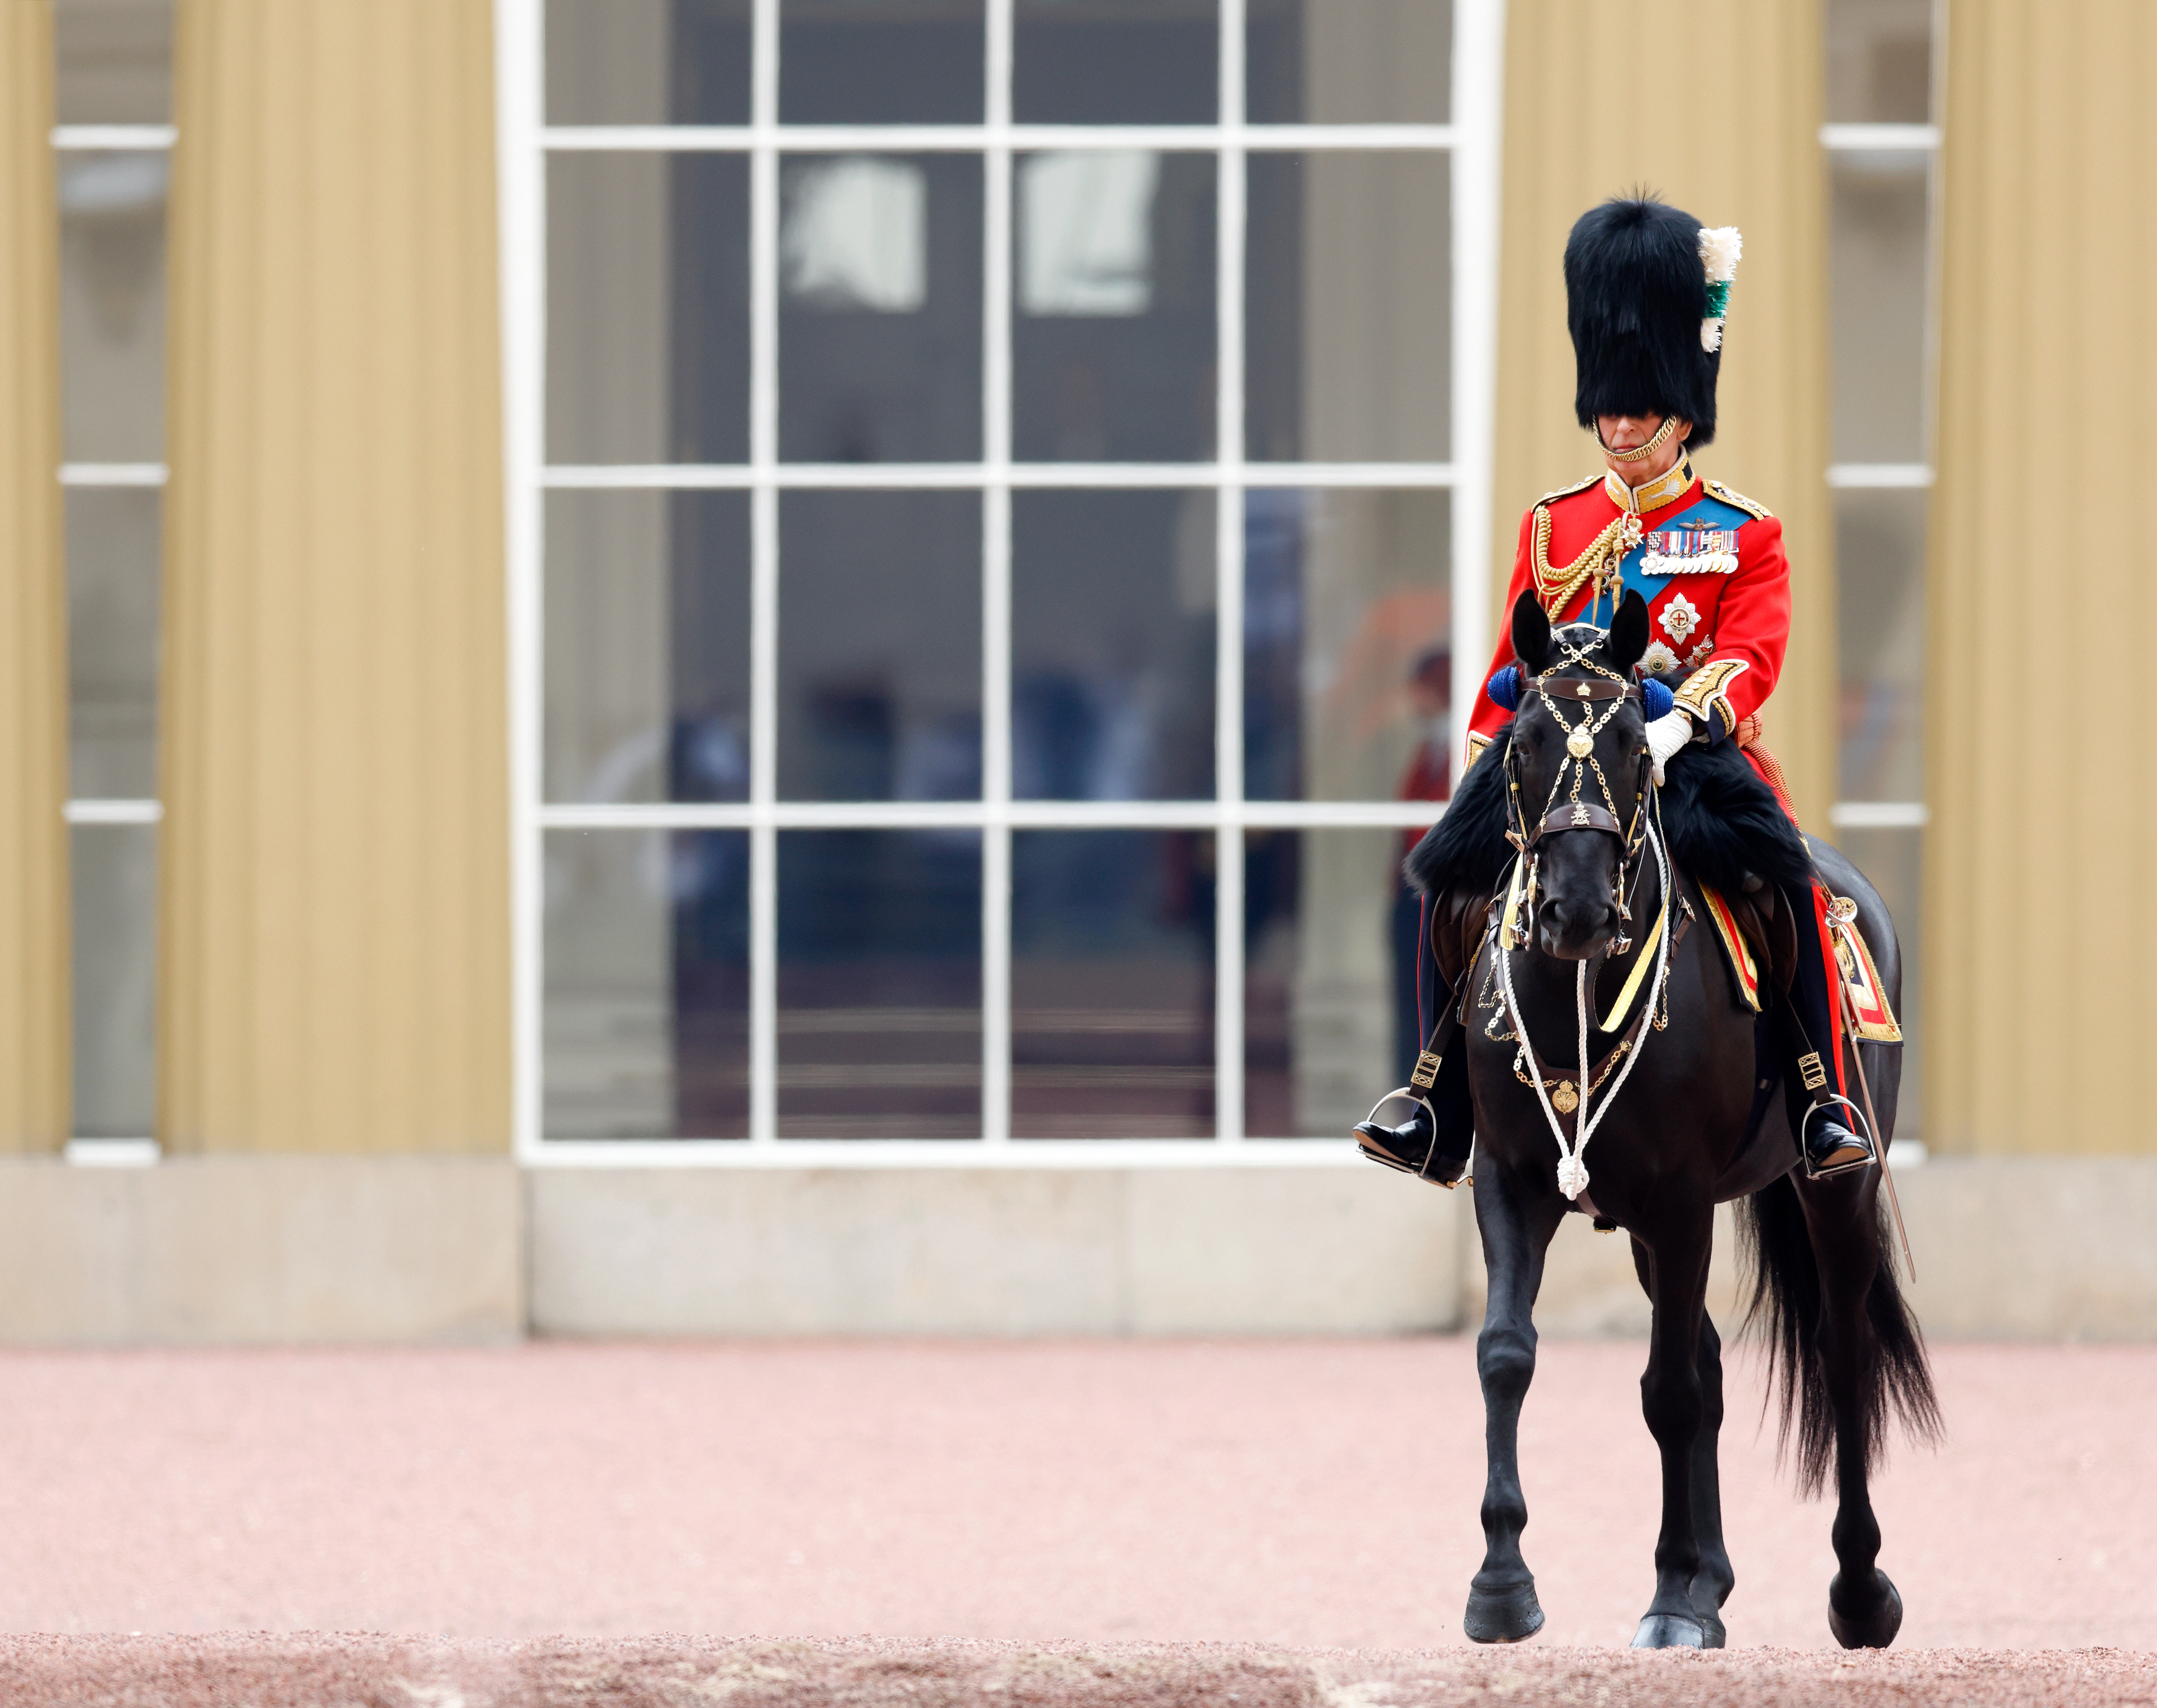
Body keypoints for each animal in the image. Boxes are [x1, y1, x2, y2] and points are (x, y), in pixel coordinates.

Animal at [1423, 591, 1950, 1656]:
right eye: (1523, 742)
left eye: (1635, 742)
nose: (1576, 911)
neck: (1577, 994)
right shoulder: (1514, 1179)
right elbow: (1506, 1354)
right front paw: (1502, 1585)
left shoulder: (1680, 1198)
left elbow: (1667, 1389)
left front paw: (1668, 1597)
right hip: (1640, 1220)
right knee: (1705, 1359)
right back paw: (1712, 1580)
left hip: (1829, 1185)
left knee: (1838, 1353)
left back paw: (1856, 1590)